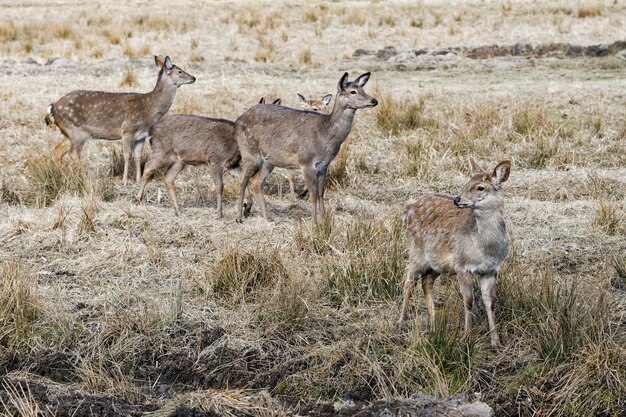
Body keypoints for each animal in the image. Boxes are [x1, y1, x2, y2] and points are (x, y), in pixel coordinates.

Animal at [45, 55, 195, 185]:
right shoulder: (128, 130)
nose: (193, 77)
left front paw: (138, 180)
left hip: (69, 132)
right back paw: (84, 177)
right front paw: (124, 181)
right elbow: (127, 155)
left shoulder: (142, 135)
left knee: (58, 150)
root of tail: (53, 107)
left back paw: (60, 175)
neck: (149, 108)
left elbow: (138, 156)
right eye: (180, 71)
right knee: (73, 154)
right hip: (77, 131)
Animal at [234, 73, 376, 226]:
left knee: (256, 181)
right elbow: (313, 194)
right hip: (249, 152)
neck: (325, 136)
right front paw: (315, 223)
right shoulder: (306, 162)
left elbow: (321, 193)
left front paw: (324, 219)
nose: (374, 100)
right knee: (242, 178)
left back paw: (268, 217)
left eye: (363, 89)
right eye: (352, 91)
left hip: (269, 160)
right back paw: (240, 216)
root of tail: (238, 119)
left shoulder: (324, 165)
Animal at [398, 159, 510, 348]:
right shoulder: (462, 265)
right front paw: (466, 338)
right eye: (466, 183)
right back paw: (400, 322)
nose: (458, 199)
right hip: (416, 251)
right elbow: (469, 301)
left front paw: (496, 342)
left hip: (437, 264)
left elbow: (490, 302)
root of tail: (407, 210)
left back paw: (434, 325)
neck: (485, 249)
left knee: (426, 282)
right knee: (409, 282)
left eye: (480, 187)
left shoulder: (491, 270)